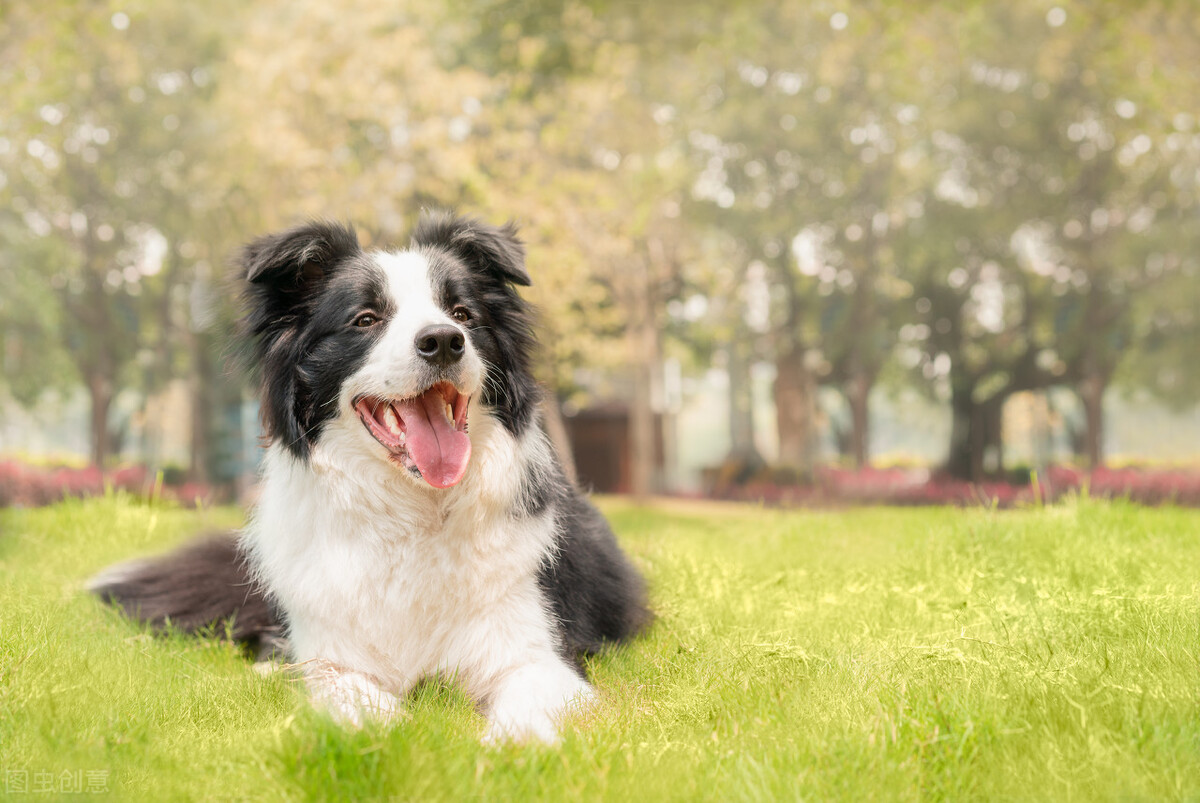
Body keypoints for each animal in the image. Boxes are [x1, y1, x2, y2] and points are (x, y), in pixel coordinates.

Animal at [88, 211, 652, 739]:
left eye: (462, 314)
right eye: (365, 319)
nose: (444, 340)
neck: (413, 511)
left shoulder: (536, 652)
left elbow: (526, 710)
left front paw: (510, 749)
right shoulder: (335, 654)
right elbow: (350, 698)